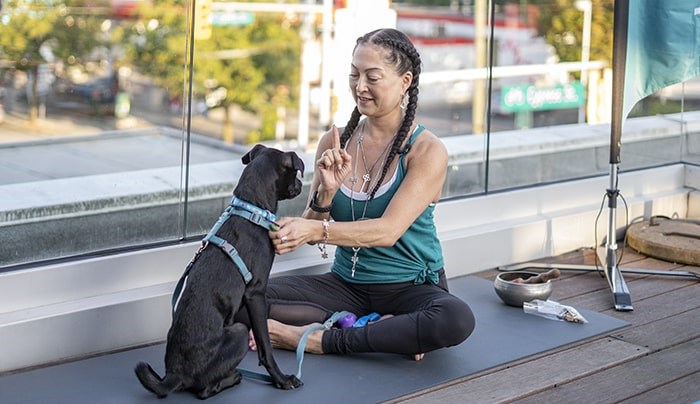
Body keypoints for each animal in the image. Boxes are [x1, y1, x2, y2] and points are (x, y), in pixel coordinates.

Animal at [134, 144, 304, 398]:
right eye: (295, 173)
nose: (302, 185)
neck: (251, 209)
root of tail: (174, 375)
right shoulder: (255, 293)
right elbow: (265, 346)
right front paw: (282, 379)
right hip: (240, 332)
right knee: (204, 390)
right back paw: (232, 377)